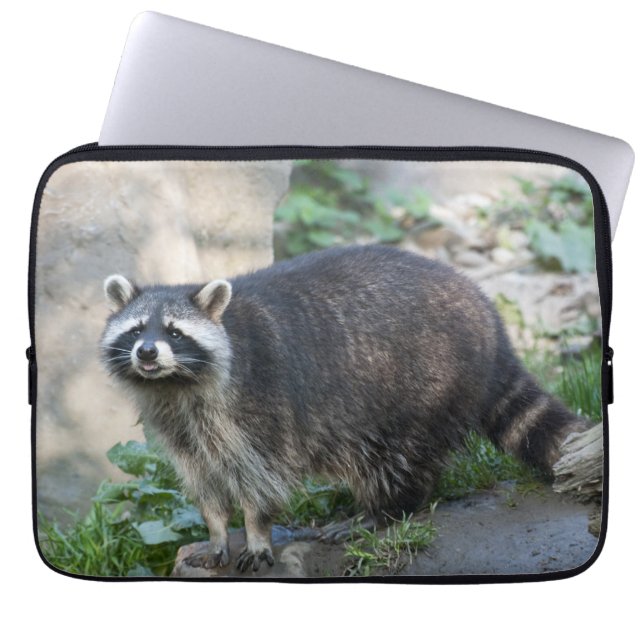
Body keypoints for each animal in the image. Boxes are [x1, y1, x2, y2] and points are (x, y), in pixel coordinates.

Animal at [100, 244, 587, 572]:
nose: (147, 353)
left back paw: (384, 509)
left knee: (395, 458)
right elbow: (204, 480)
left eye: (175, 332)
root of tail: (492, 325)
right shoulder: (182, 426)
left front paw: (257, 532)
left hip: (422, 383)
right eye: (137, 329)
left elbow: (263, 477)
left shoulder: (261, 406)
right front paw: (217, 530)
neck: (176, 384)